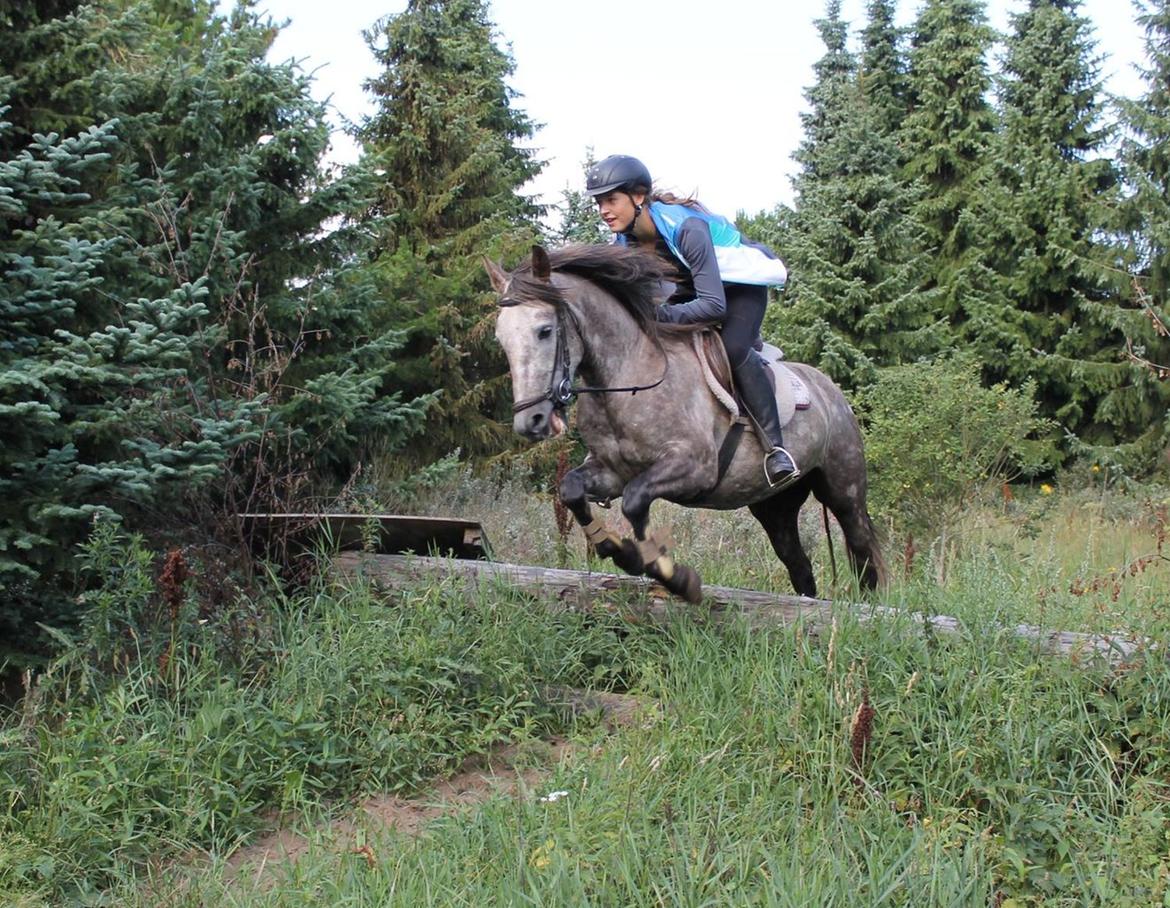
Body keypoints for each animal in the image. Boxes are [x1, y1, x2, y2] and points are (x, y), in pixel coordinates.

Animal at [486, 244, 884, 608]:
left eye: (544, 331)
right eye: (500, 338)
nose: (531, 421)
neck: (628, 375)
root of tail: (830, 388)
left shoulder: (695, 467)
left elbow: (635, 501)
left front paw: (668, 573)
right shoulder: (612, 471)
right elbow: (572, 490)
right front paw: (615, 548)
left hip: (843, 488)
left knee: (862, 551)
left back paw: (868, 612)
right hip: (775, 507)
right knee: (799, 565)